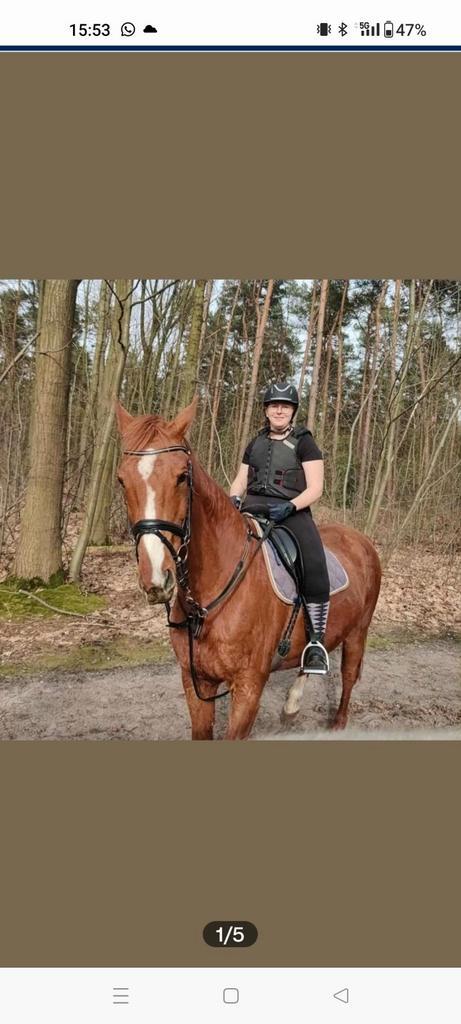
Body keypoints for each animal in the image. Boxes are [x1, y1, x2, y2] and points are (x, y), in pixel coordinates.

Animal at [115, 397, 382, 740]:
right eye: (122, 480)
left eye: (182, 477)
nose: (157, 579)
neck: (209, 598)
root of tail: (361, 541)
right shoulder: (196, 682)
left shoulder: (248, 688)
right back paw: (292, 705)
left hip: (359, 631)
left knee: (349, 675)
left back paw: (337, 722)